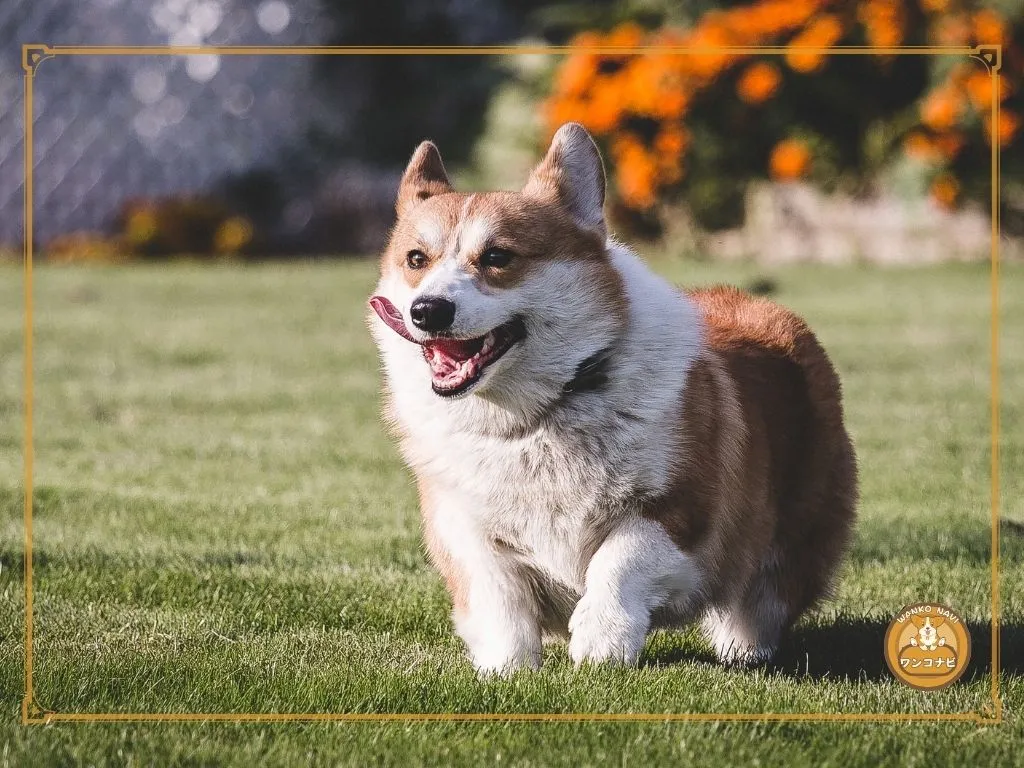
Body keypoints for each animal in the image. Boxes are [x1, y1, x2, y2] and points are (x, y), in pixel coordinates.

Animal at [368, 123, 856, 671]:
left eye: (497, 257)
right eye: (416, 260)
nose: (427, 310)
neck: (536, 418)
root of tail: (765, 306)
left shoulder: (678, 511)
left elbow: (618, 561)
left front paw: (601, 641)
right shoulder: (468, 531)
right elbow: (500, 600)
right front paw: (507, 669)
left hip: (792, 539)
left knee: (760, 604)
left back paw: (744, 651)